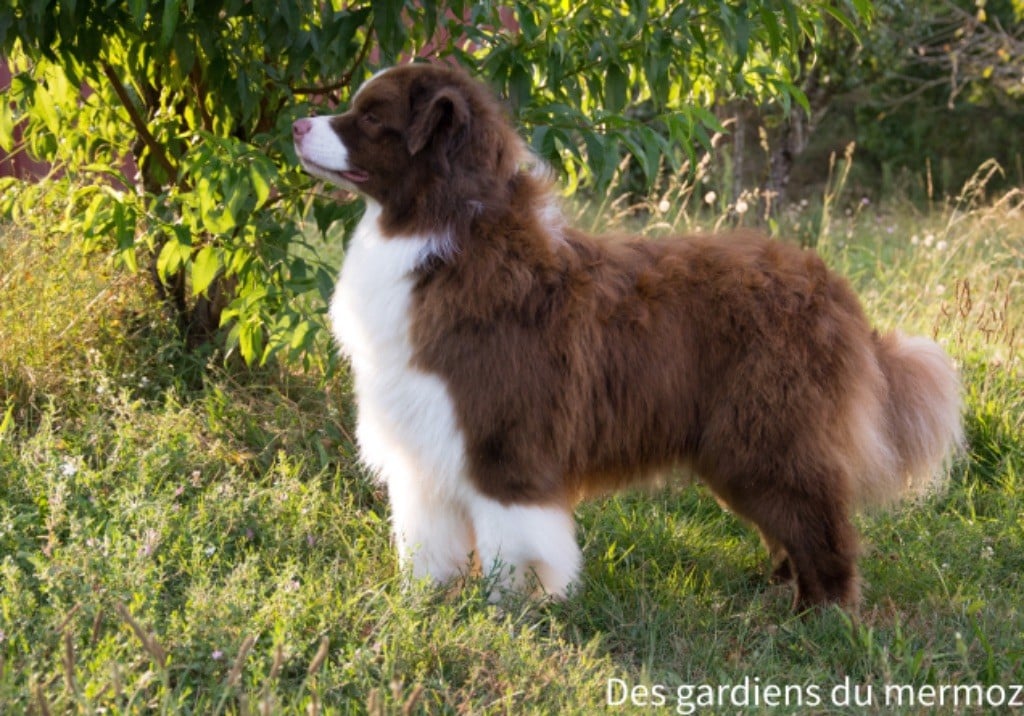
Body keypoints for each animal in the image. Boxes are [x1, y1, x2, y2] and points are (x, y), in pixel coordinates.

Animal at [292, 62, 962, 610]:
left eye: (371, 116)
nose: (297, 123)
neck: (440, 231)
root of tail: (836, 292)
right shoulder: (426, 439)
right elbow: (428, 540)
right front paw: (429, 603)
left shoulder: (505, 441)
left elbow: (518, 545)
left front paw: (513, 612)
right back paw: (773, 587)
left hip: (766, 435)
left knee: (819, 522)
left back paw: (820, 614)